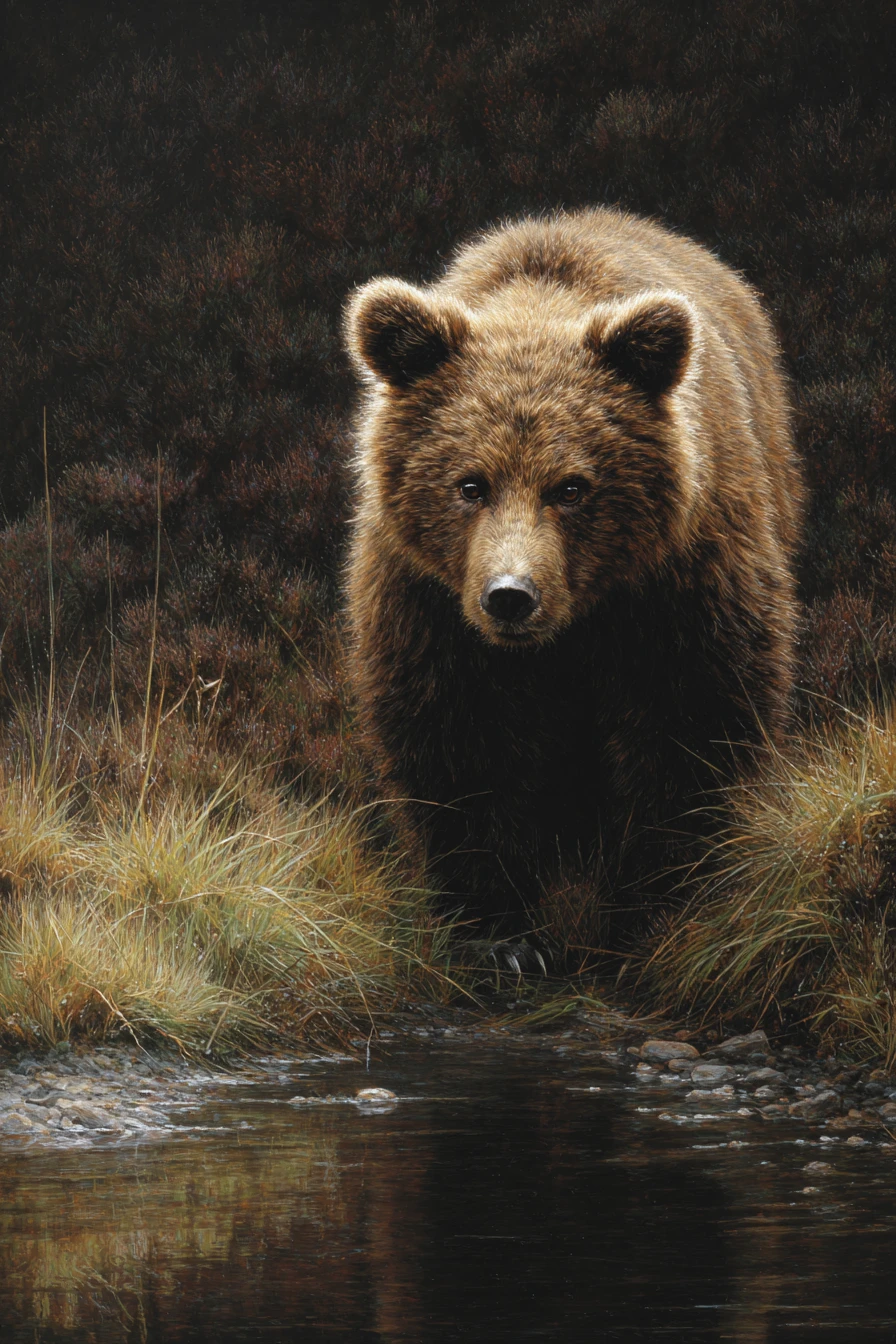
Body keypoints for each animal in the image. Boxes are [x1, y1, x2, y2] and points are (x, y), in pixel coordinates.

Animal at [343, 207, 804, 947]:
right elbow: (460, 739)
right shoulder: (428, 600)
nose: (510, 597)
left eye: (571, 487)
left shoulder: (681, 580)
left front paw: (657, 901)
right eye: (469, 484)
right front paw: (501, 928)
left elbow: (692, 721)